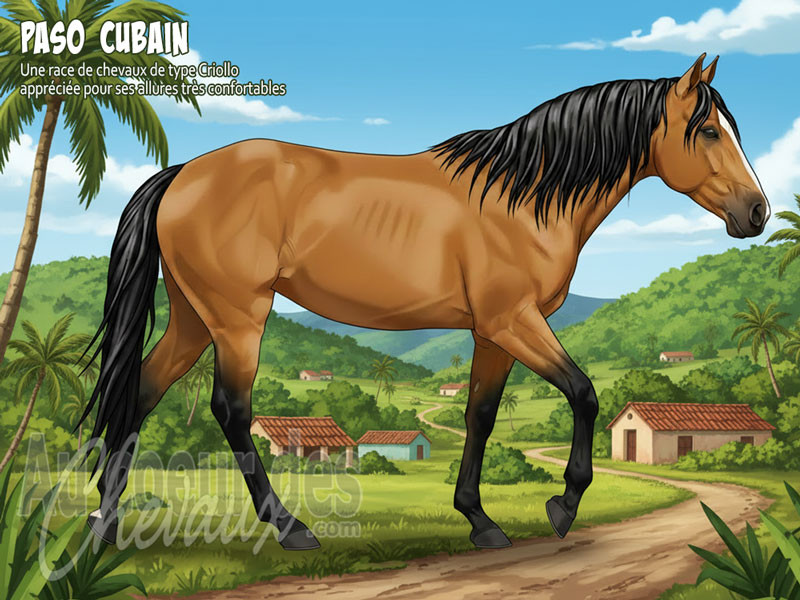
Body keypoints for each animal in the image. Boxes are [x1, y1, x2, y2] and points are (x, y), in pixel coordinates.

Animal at [82, 53, 769, 550]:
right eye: (709, 130)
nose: (757, 213)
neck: (524, 195)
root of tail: (182, 174)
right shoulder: (514, 320)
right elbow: (584, 393)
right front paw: (562, 506)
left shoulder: (493, 332)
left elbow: (480, 415)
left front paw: (480, 520)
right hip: (237, 318)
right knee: (230, 409)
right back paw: (290, 528)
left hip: (194, 319)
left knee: (139, 394)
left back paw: (106, 527)